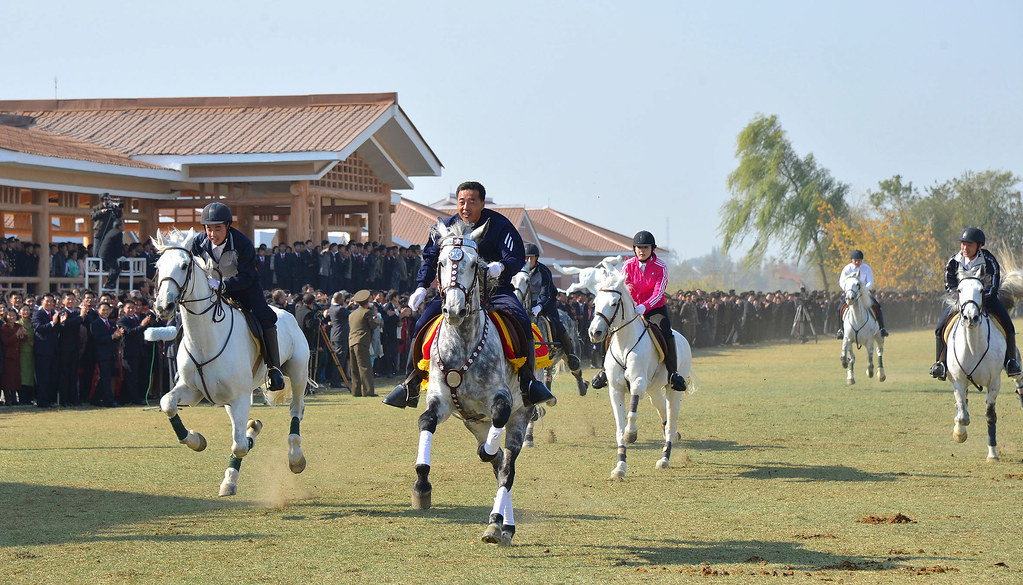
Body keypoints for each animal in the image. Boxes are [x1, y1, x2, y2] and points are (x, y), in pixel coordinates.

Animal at [152, 231, 306, 495]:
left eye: (183, 266)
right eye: (158, 266)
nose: (163, 306)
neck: (205, 338)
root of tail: (286, 311)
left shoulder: (240, 397)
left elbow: (240, 446)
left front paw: (229, 480)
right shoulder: (193, 391)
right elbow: (167, 403)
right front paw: (196, 440)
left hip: (297, 373)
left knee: (296, 410)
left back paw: (295, 458)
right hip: (225, 400)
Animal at [409, 217, 536, 544]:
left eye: (473, 263)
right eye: (441, 263)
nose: (454, 310)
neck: (464, 344)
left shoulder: (502, 401)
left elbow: (496, 442)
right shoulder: (440, 401)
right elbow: (426, 422)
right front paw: (421, 487)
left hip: (519, 418)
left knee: (506, 469)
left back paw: (497, 524)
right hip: (475, 423)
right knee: (500, 467)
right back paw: (502, 525)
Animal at [585, 272, 695, 476]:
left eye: (614, 303)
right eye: (595, 302)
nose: (595, 332)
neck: (624, 344)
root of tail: (683, 338)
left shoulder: (638, 383)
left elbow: (631, 415)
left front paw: (631, 433)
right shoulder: (616, 390)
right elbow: (619, 429)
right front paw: (620, 466)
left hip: (673, 389)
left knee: (671, 420)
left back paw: (665, 458)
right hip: (654, 389)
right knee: (662, 410)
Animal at [941, 265, 1023, 462]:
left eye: (980, 290)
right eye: (959, 290)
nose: (971, 317)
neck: (973, 346)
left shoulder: (993, 383)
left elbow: (990, 416)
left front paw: (992, 454)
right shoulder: (958, 380)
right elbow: (962, 414)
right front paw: (959, 433)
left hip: (1015, 364)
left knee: (1019, 381)